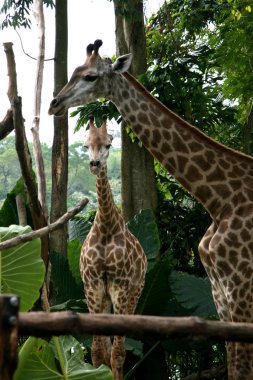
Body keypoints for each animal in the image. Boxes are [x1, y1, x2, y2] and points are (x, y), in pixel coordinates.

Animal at [49, 39, 253, 380]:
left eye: (91, 76)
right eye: (74, 70)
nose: (54, 103)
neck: (220, 199)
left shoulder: (240, 287)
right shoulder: (220, 293)